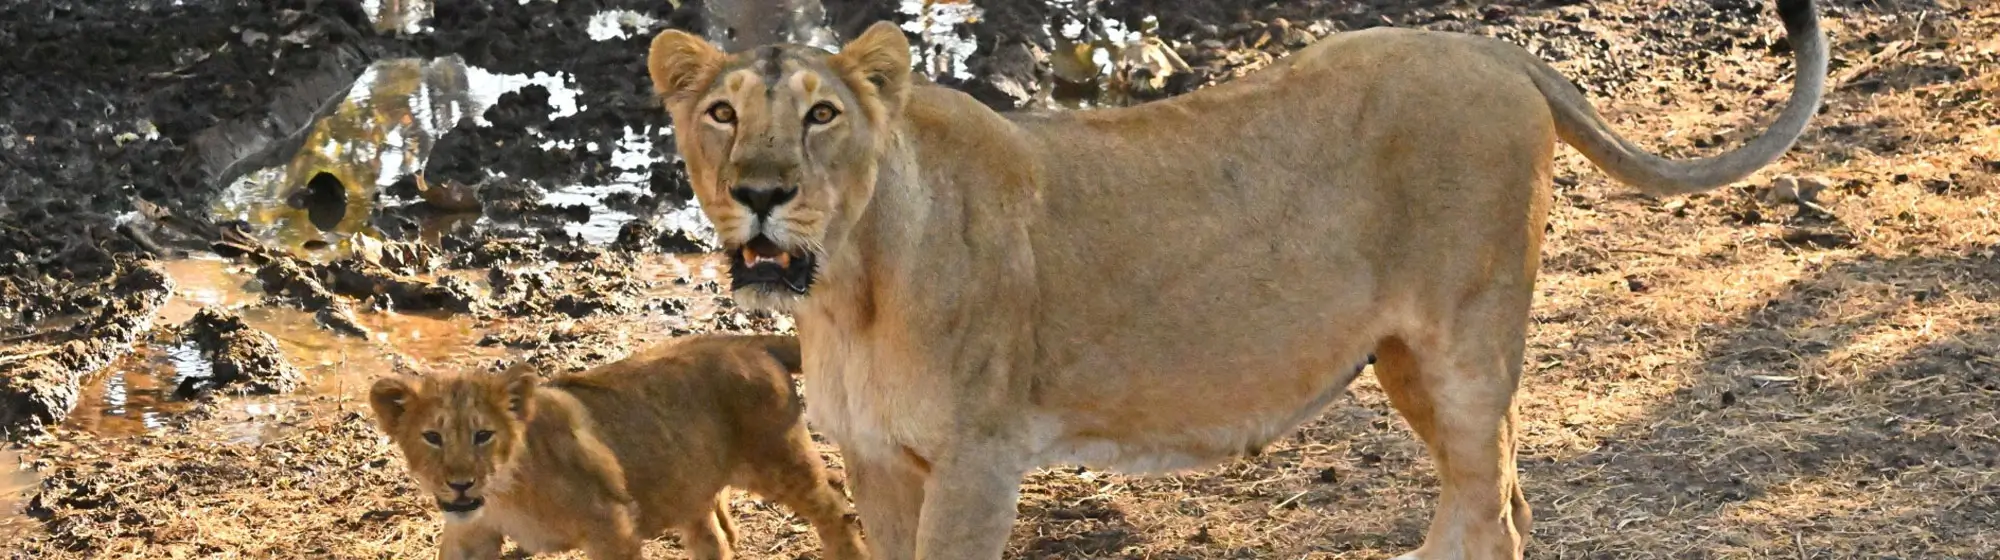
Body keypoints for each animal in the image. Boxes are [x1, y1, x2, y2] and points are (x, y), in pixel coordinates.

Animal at [368, 334, 868, 560]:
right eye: (432, 437)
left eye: (483, 435)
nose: (459, 484)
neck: (505, 490)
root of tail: (746, 341)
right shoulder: (472, 535)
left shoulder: (611, 524)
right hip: (688, 482)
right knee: (714, 537)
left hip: (781, 462)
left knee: (835, 510)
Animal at [643, 0, 1826, 557]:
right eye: (721, 113)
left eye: (820, 116)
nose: (758, 192)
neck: (848, 286)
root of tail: (1490, 48)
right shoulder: (879, 459)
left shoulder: (980, 457)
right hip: (1405, 356)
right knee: (1490, 493)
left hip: (1465, 339)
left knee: (1491, 510)